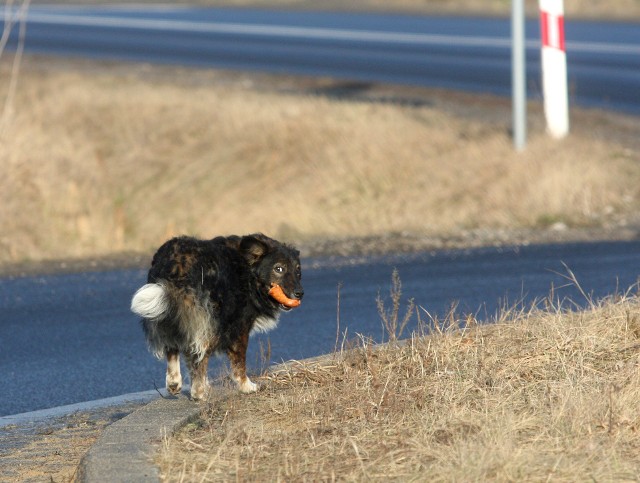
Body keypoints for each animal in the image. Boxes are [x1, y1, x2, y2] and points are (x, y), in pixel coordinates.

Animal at [130, 234, 302, 400]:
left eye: (298, 271)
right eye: (279, 269)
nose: (300, 293)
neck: (248, 271)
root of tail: (175, 265)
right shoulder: (238, 328)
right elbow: (238, 362)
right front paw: (246, 386)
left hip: (173, 316)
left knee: (174, 347)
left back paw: (175, 382)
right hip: (207, 321)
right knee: (199, 355)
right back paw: (198, 393)